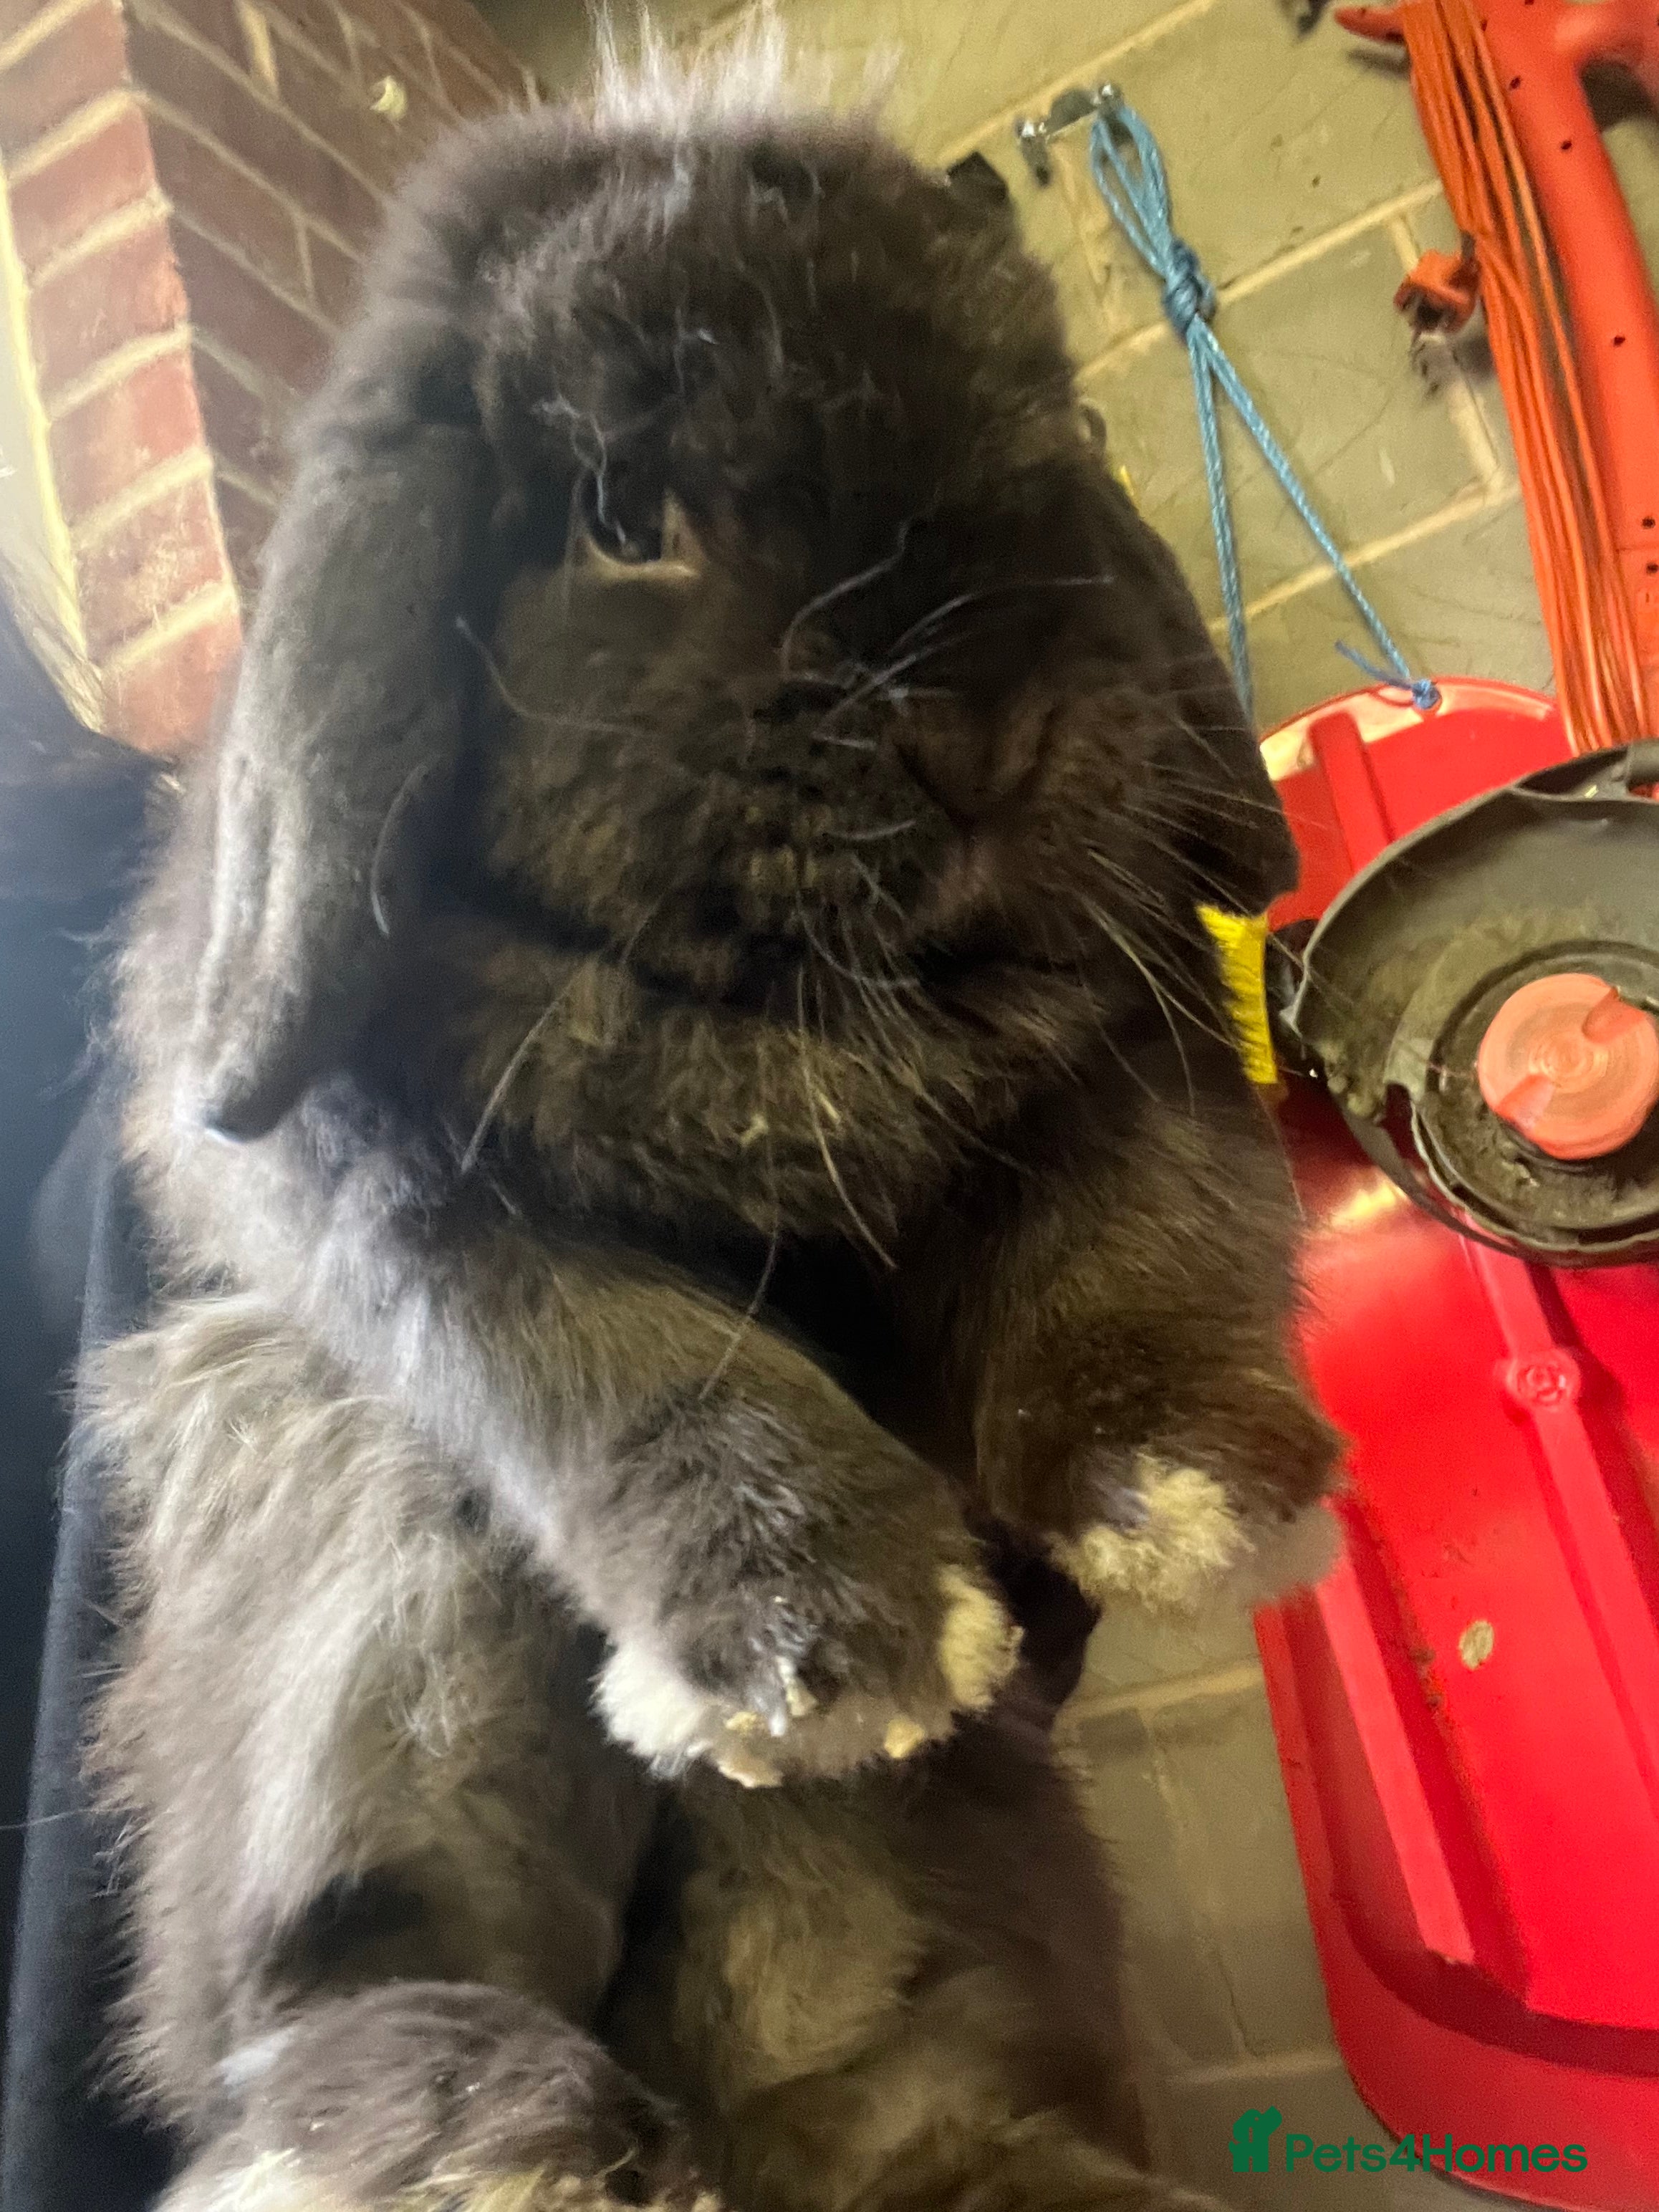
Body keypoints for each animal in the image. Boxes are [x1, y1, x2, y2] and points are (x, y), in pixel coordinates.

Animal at [88, 23, 1338, 2210]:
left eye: (1067, 427)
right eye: (616, 512)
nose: (979, 730)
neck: (779, 1011)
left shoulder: (1124, 1059)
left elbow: (1141, 1241)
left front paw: (1190, 1496)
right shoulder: (393, 1201)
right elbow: (629, 1352)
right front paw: (829, 1647)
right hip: (356, 1571)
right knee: (313, 1991)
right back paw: (491, 2126)